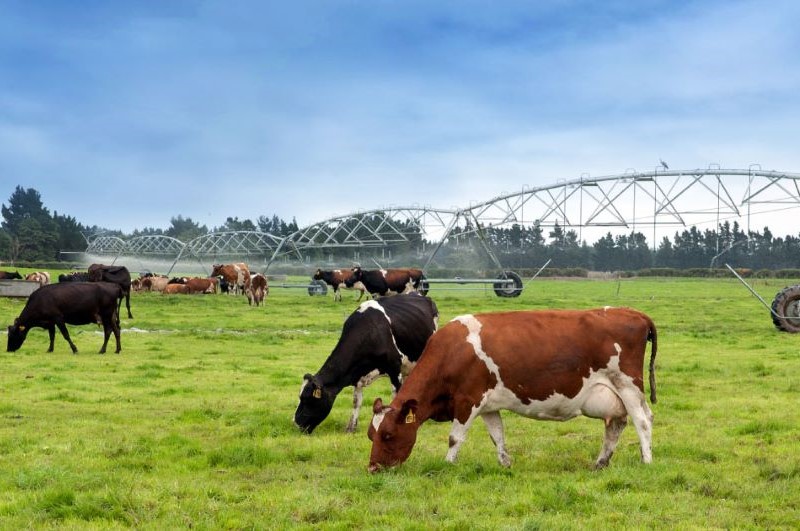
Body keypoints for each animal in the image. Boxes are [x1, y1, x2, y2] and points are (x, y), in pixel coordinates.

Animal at [295, 293, 439, 434]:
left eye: (308, 399)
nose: (296, 423)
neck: (371, 333)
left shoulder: (394, 368)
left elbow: (396, 396)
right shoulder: (357, 375)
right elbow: (356, 401)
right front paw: (351, 428)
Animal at [367, 307, 657, 472]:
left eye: (389, 435)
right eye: (371, 435)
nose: (372, 468)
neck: (452, 351)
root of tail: (633, 312)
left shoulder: (468, 401)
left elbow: (454, 438)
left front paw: (447, 464)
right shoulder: (487, 405)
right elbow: (497, 436)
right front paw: (506, 464)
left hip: (628, 386)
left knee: (642, 421)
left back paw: (646, 460)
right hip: (616, 395)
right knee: (616, 425)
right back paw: (601, 462)